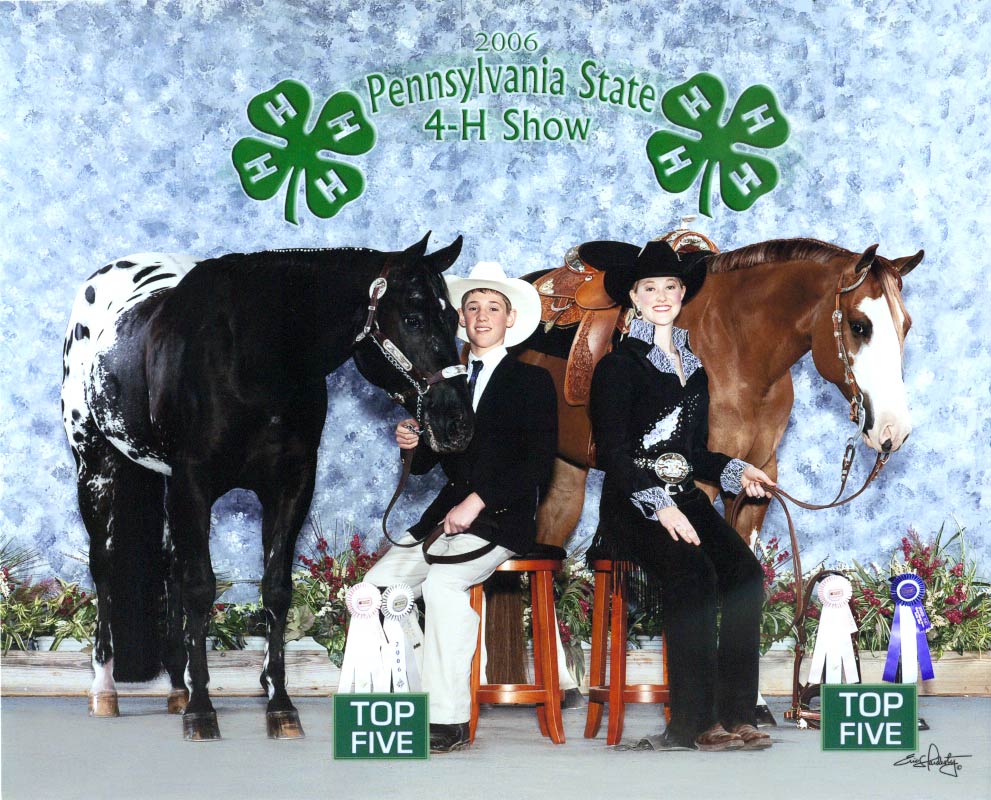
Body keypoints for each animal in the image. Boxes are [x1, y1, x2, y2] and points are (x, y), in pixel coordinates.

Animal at [61, 234, 472, 740]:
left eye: (453, 319)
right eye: (413, 318)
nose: (457, 423)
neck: (249, 353)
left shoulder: (290, 485)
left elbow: (274, 590)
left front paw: (279, 705)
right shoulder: (193, 484)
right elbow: (200, 588)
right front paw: (203, 711)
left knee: (170, 567)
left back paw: (177, 687)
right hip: (94, 463)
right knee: (104, 566)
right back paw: (105, 691)